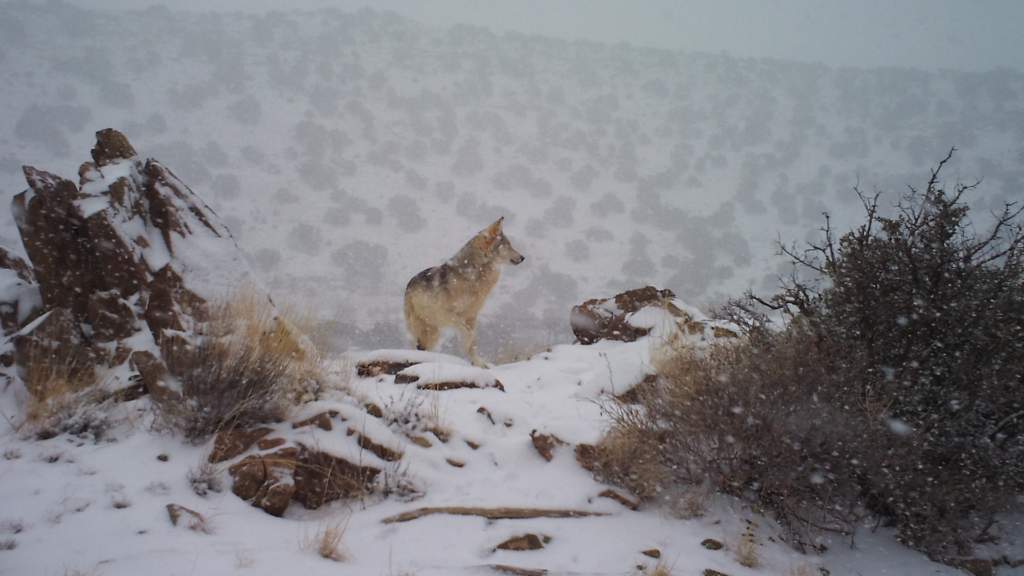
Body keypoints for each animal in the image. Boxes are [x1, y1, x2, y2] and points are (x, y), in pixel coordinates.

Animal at [403, 217, 524, 364]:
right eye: (508, 245)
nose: (523, 257)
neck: (474, 275)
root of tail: (409, 284)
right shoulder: (445, 313)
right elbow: (469, 334)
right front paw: (462, 348)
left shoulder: (472, 316)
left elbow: (473, 340)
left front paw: (477, 364)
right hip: (416, 327)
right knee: (414, 346)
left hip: (434, 332)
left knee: (424, 347)